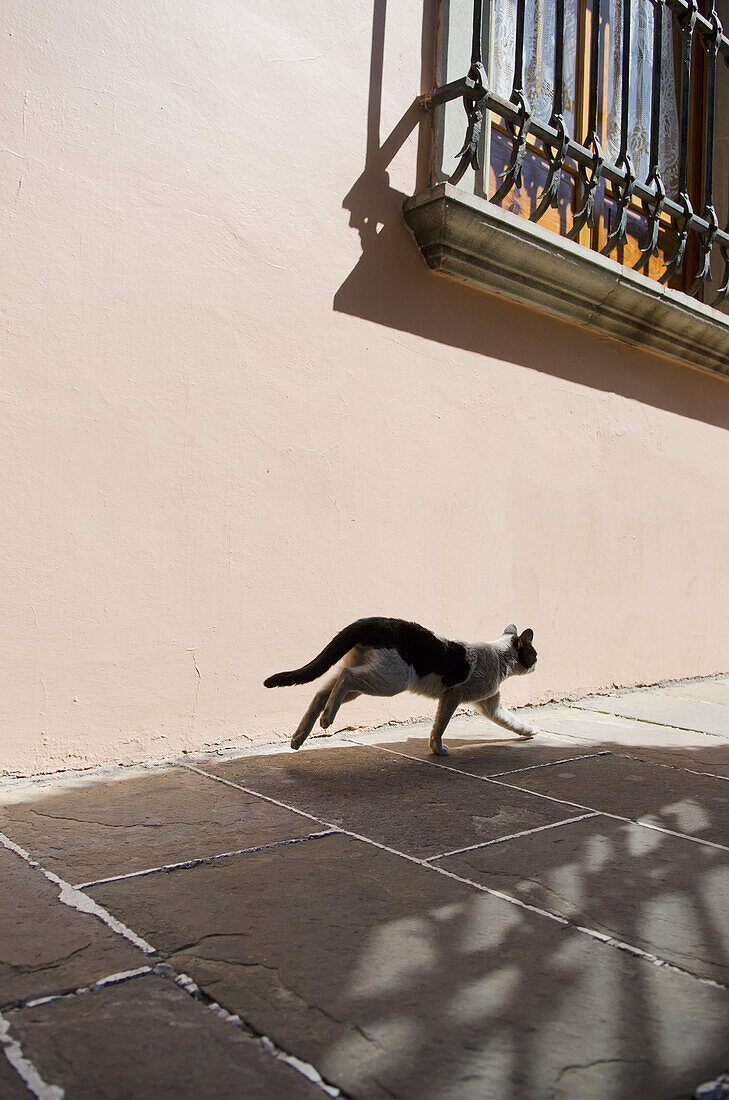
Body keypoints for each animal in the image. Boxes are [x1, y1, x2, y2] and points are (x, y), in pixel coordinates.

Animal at [264, 620, 538, 756]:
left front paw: (529, 731)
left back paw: (299, 737)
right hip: (392, 679)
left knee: (323, 692)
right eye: (534, 653)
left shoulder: (490, 704)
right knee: (346, 676)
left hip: (369, 676)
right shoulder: (453, 695)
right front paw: (438, 750)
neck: (498, 657)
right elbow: (440, 726)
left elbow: (511, 721)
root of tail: (373, 622)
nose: (537, 663)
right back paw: (326, 719)